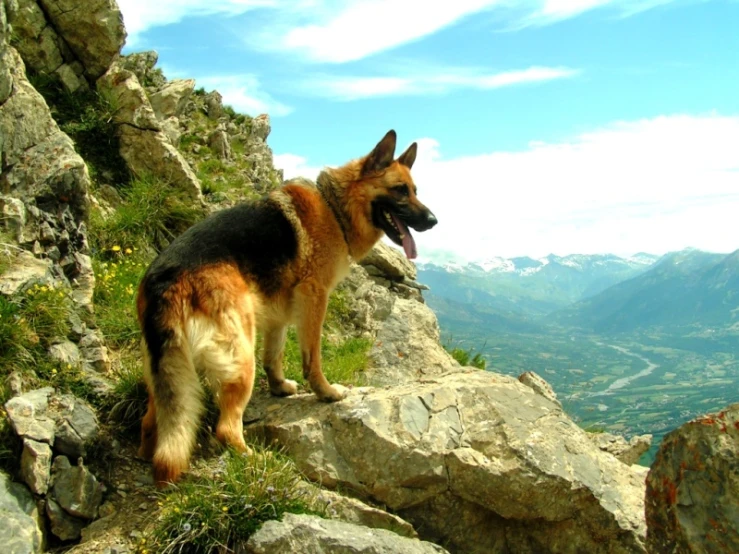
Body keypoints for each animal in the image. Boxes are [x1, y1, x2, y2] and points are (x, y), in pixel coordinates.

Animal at [136, 129, 436, 484]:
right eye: (400, 190)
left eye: (415, 191)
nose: (433, 220)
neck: (335, 207)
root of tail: (165, 279)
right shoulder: (314, 298)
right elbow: (312, 358)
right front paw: (325, 392)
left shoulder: (278, 312)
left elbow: (274, 354)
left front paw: (279, 387)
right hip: (241, 358)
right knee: (225, 427)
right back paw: (253, 461)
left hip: (170, 371)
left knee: (153, 421)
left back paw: (148, 457)